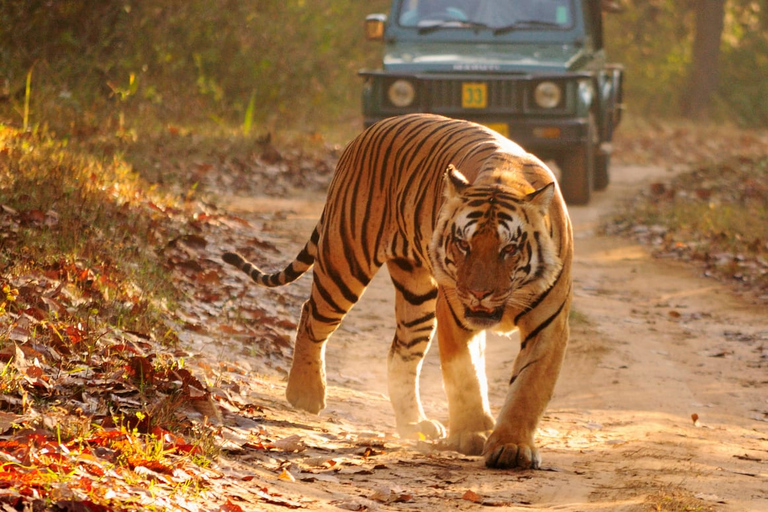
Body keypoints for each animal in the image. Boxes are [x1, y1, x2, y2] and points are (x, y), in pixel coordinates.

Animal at [222, 113, 568, 468]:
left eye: (509, 249)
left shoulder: (548, 325)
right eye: (463, 244)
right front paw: (472, 434)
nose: (478, 293)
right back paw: (306, 394)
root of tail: (366, 133)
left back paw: (414, 423)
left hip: (416, 295)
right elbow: (465, 377)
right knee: (311, 316)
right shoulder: (455, 315)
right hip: (345, 260)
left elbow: (528, 387)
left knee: (400, 354)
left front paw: (511, 446)